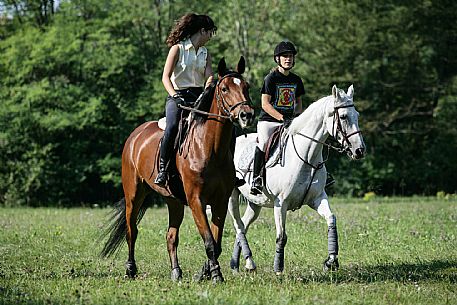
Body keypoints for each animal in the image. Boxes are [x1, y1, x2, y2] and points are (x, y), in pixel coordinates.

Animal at [99, 55, 253, 282]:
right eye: (224, 89)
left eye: (246, 86)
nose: (246, 115)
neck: (209, 147)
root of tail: (135, 136)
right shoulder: (196, 200)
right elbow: (209, 241)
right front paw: (215, 275)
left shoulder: (220, 201)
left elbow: (216, 244)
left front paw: (205, 273)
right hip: (134, 195)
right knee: (131, 231)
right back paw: (131, 270)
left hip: (174, 202)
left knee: (171, 236)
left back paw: (176, 272)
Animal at [230, 83, 366, 274]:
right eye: (344, 117)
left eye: (357, 115)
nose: (359, 150)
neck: (307, 157)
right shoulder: (281, 204)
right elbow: (281, 236)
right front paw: (278, 268)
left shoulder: (317, 198)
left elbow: (331, 220)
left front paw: (331, 261)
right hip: (232, 197)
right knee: (238, 225)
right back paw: (246, 262)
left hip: (255, 203)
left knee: (243, 224)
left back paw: (239, 263)